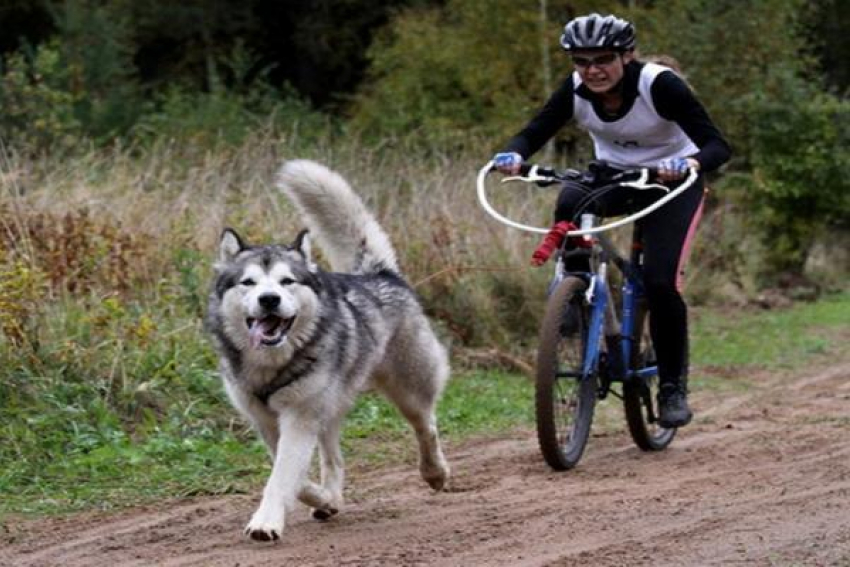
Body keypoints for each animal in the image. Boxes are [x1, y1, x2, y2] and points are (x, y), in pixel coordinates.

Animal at [205, 159, 450, 540]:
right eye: (248, 282)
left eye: (287, 281)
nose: (269, 298)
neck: (271, 364)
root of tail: (378, 274)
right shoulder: (269, 422)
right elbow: (295, 477)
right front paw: (322, 498)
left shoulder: (299, 417)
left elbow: (281, 478)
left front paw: (266, 521)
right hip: (330, 408)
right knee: (334, 459)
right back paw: (330, 498)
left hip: (408, 389)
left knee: (427, 426)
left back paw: (435, 472)